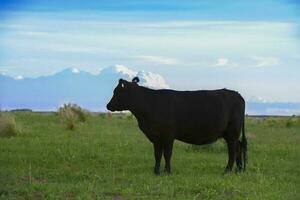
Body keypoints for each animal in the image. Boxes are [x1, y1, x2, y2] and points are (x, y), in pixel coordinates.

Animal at [106, 77, 247, 174]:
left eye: (117, 92)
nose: (108, 105)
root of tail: (237, 94)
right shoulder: (156, 136)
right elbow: (157, 154)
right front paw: (156, 171)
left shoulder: (168, 135)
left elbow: (167, 153)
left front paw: (167, 172)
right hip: (230, 134)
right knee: (239, 147)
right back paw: (239, 170)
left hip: (232, 132)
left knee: (232, 150)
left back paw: (227, 170)